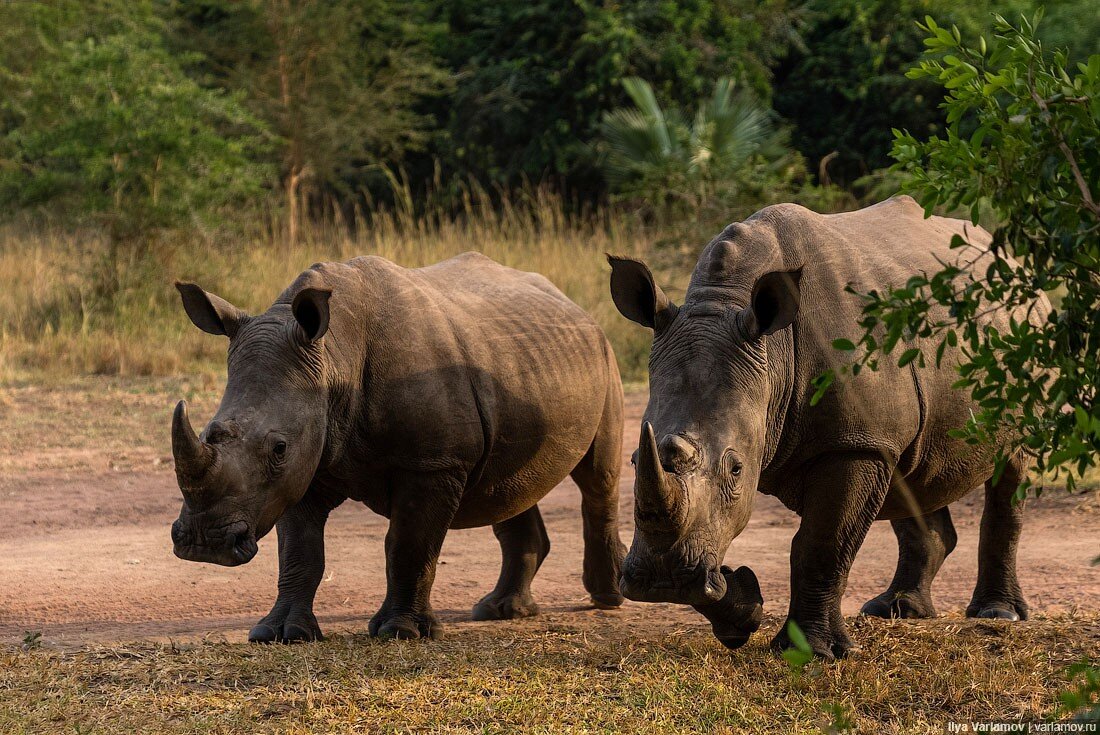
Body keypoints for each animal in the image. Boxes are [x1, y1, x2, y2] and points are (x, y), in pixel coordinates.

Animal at [167, 253, 624, 642]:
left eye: (278, 448)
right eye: (209, 432)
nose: (204, 545)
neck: (334, 358)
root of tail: (572, 304)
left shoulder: (433, 463)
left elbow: (409, 544)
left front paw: (400, 632)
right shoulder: (305, 462)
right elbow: (299, 551)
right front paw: (279, 634)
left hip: (603, 358)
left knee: (598, 478)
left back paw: (607, 597)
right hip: (523, 360)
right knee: (508, 489)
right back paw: (499, 610)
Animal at [611, 196, 1047, 660]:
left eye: (736, 469)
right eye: (634, 460)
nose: (662, 581)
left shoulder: (852, 443)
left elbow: (821, 543)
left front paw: (811, 652)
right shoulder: (861, 436)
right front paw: (741, 613)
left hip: (1025, 335)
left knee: (1012, 469)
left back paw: (999, 614)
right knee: (909, 475)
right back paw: (897, 610)